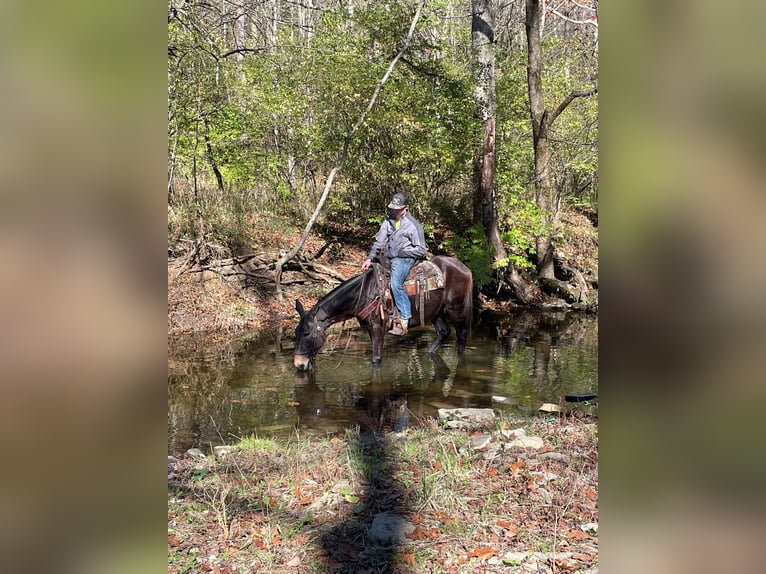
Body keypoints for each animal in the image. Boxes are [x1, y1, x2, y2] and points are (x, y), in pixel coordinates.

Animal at [296, 258, 472, 374]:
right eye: (297, 333)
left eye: (307, 333)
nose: (299, 365)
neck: (364, 293)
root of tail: (465, 268)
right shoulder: (370, 329)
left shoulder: (378, 327)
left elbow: (376, 359)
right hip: (437, 312)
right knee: (444, 332)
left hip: (456, 309)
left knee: (462, 336)